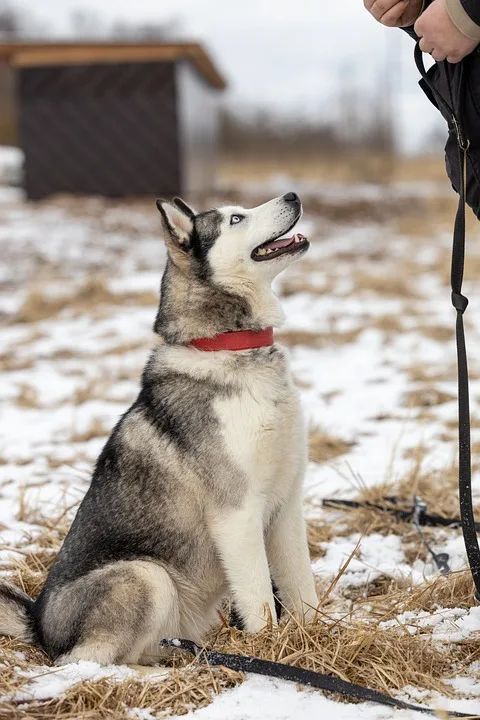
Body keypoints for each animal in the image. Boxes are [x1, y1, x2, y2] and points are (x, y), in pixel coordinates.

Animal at [0, 191, 318, 664]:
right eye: (236, 219)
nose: (293, 195)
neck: (228, 349)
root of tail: (39, 624)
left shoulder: (286, 504)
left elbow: (303, 586)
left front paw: (321, 638)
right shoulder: (237, 511)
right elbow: (260, 597)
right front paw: (272, 652)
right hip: (145, 575)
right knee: (86, 663)